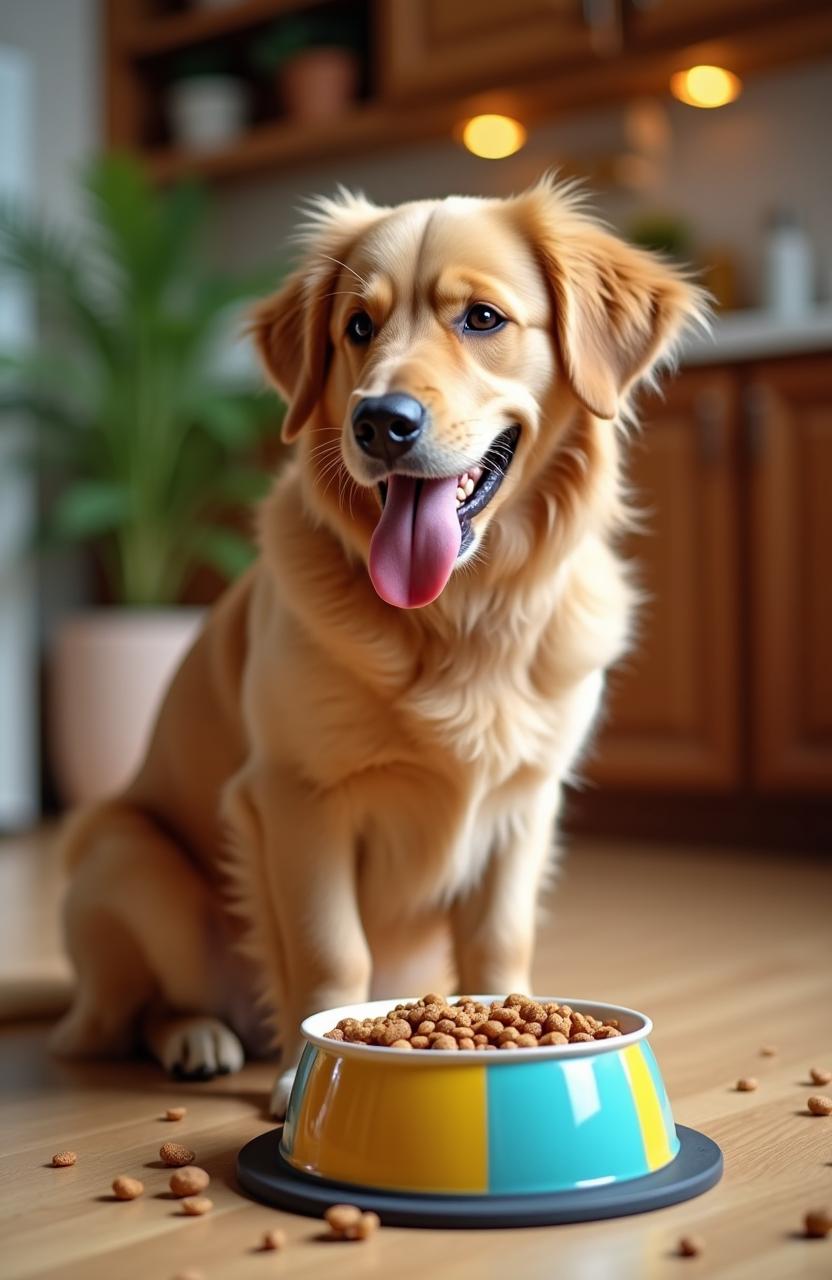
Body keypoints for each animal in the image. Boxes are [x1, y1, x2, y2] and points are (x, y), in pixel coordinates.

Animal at [51, 175, 701, 1116]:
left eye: (482, 318)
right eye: (357, 327)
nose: (379, 423)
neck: (463, 613)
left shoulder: (526, 802)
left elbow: (500, 940)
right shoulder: (299, 796)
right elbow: (333, 950)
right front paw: (305, 1068)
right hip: (128, 857)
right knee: (133, 1014)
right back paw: (197, 1038)